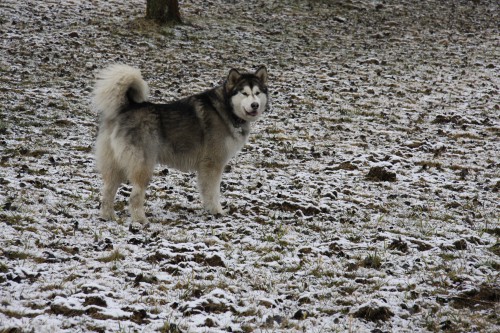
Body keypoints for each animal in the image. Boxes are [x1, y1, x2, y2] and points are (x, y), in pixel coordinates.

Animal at [92, 63, 268, 222]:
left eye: (257, 93)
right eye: (244, 93)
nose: (255, 105)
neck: (226, 108)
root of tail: (126, 107)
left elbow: (205, 190)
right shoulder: (213, 163)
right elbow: (213, 191)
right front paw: (217, 211)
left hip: (116, 165)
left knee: (107, 192)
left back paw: (107, 217)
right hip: (143, 165)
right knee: (134, 196)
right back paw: (140, 220)